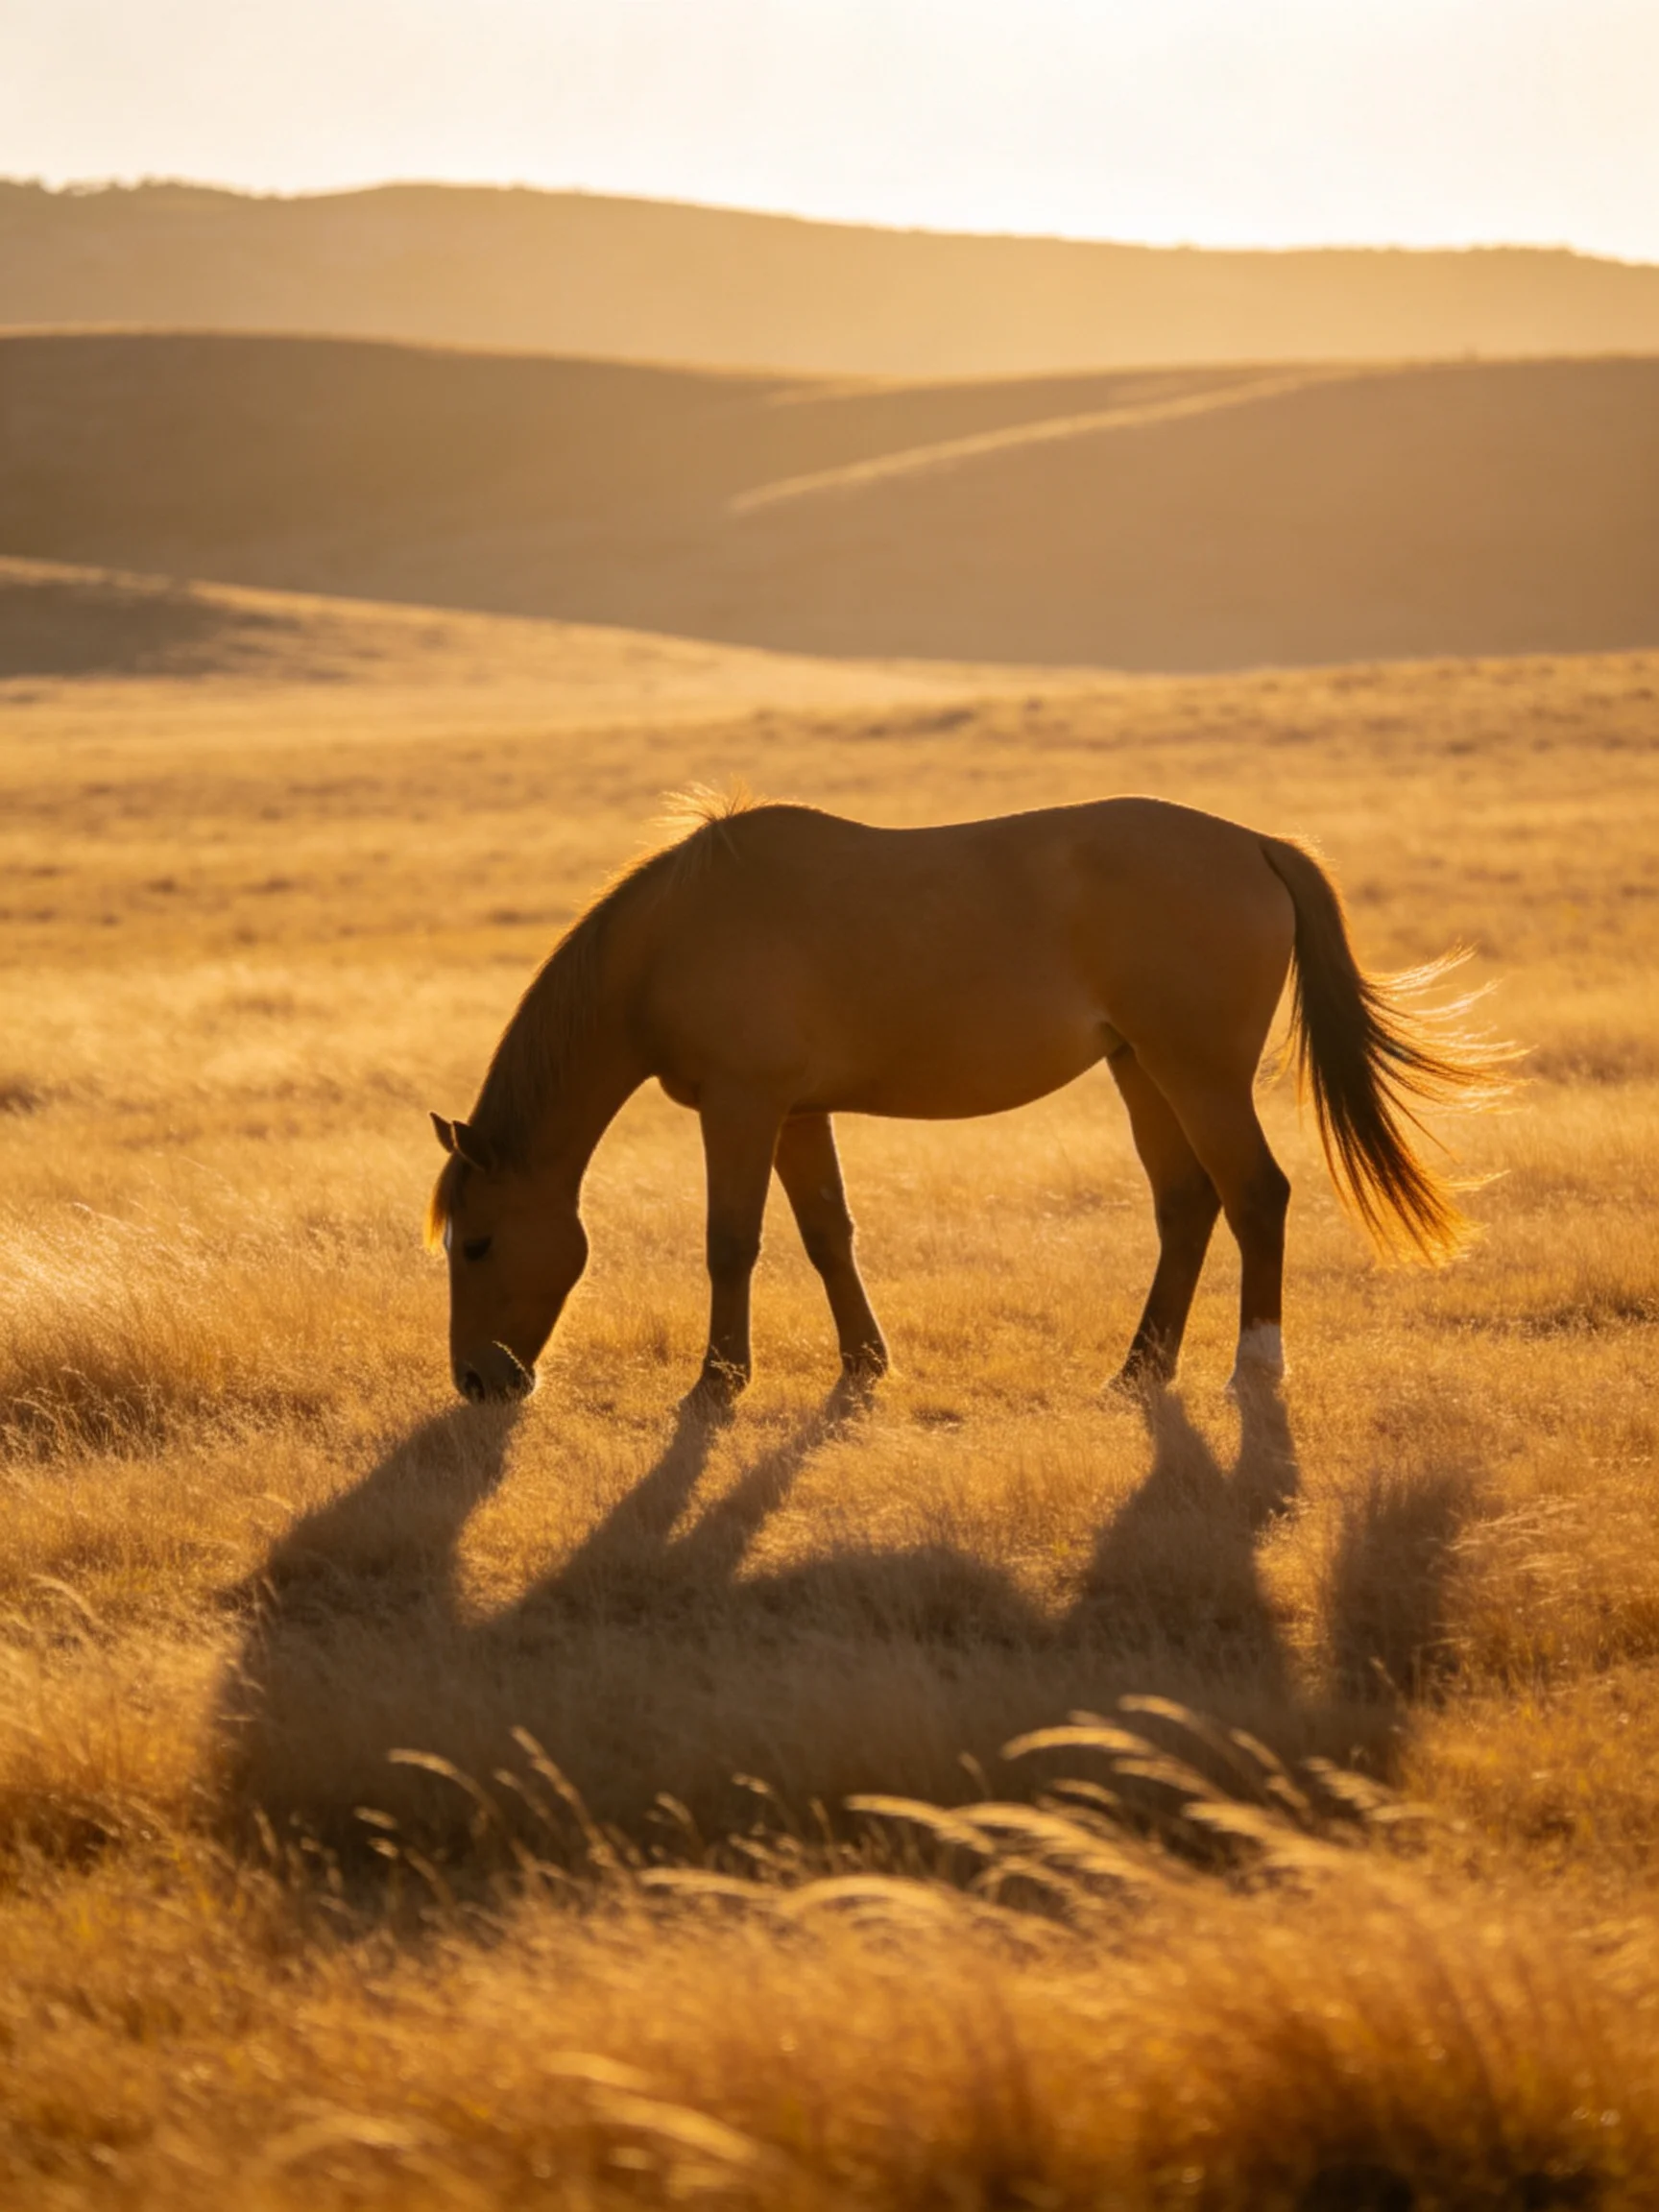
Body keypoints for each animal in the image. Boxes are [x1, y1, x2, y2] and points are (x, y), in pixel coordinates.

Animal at [427, 793, 1506, 1407]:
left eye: (476, 1244)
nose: (478, 1381)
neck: (670, 938)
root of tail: (1254, 844)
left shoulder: (741, 1108)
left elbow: (731, 1243)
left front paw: (718, 1382)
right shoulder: (796, 1113)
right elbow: (827, 1232)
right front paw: (864, 1366)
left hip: (1195, 1073)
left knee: (1255, 1196)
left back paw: (1254, 1368)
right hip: (1141, 1070)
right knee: (1187, 1205)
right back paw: (1139, 1370)